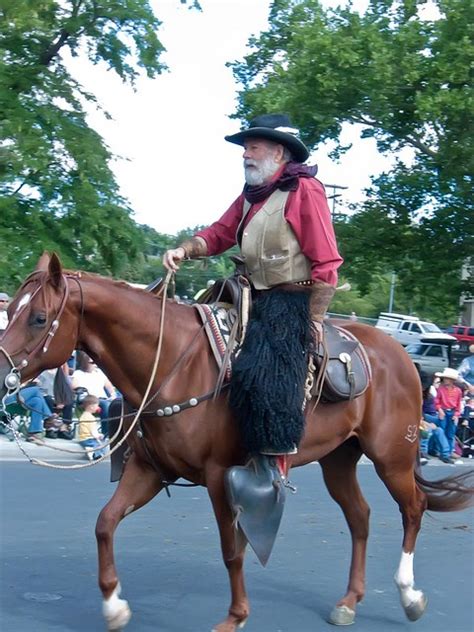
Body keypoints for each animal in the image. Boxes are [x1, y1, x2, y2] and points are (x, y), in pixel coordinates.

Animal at [0, 253, 472, 632]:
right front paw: (114, 606)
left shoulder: (219, 475)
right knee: (360, 517)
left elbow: (232, 550)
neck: (173, 362)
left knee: (413, 508)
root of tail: (403, 356)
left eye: (38, 318)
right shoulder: (150, 470)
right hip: (339, 459)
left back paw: (409, 594)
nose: (3, 371)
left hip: (392, 456)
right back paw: (349, 601)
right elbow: (105, 522)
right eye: (13, 311)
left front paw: (236, 616)